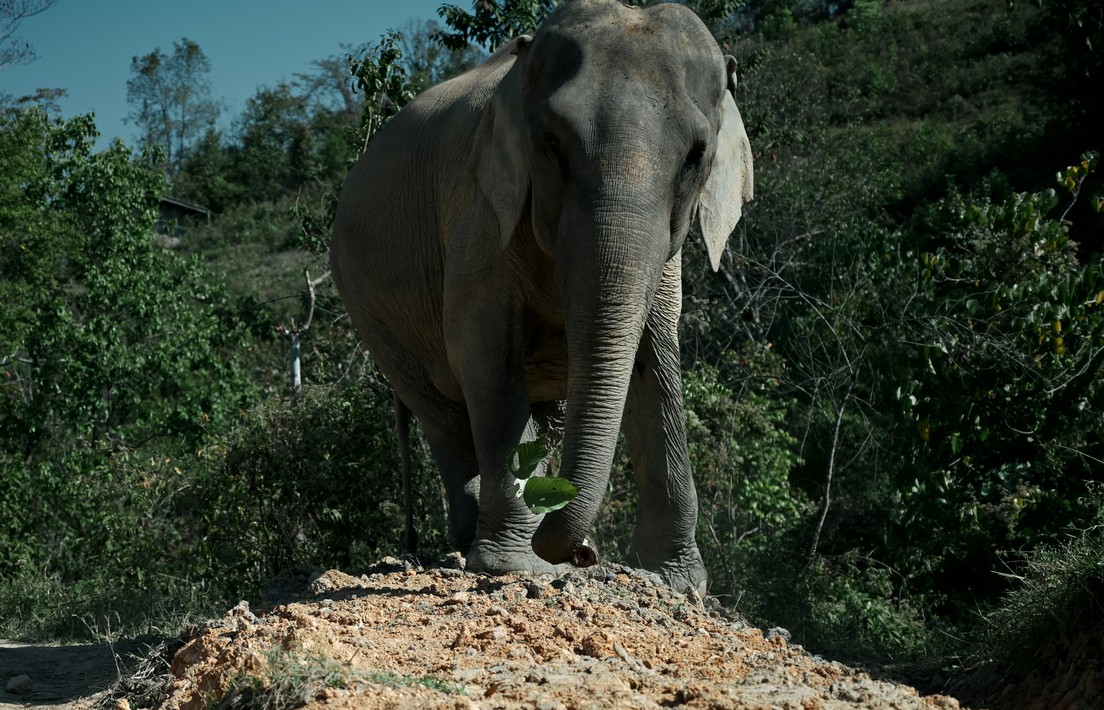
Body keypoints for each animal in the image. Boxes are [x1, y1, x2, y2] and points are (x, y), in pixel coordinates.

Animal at [329, 0, 754, 595]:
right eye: (552, 144)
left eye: (696, 156)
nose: (583, 555)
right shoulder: (484, 211)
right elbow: (484, 353)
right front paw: (517, 567)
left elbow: (655, 358)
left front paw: (675, 582)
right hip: (370, 308)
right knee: (443, 416)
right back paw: (469, 544)